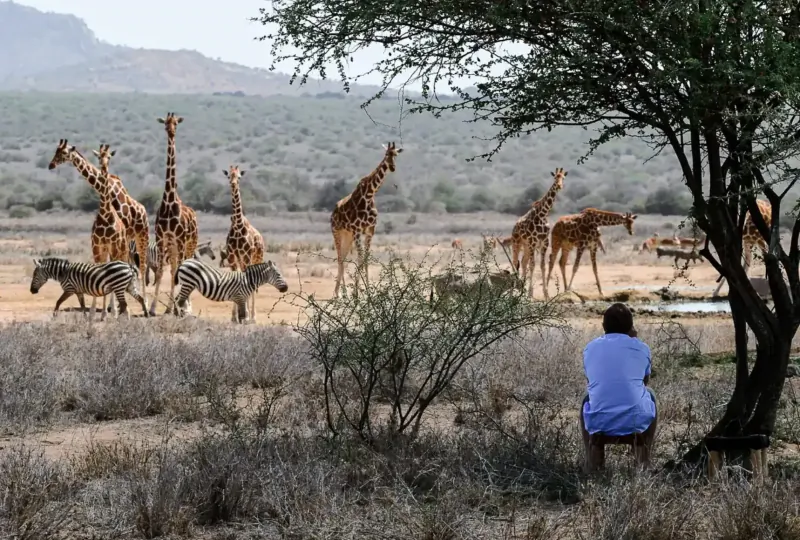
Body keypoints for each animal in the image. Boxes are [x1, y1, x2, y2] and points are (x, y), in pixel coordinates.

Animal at [47, 139, 149, 308]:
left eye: (64, 153)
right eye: (55, 151)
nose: (51, 165)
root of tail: (143, 209)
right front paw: (110, 306)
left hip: (141, 236)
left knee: (142, 266)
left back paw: (149, 304)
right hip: (128, 241)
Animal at [223, 165, 266, 322]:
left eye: (239, 177)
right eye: (228, 176)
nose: (233, 184)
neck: (237, 226)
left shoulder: (246, 256)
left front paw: (246, 316)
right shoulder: (232, 256)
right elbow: (235, 279)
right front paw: (234, 317)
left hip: (256, 258)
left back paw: (253, 316)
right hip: (242, 260)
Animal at [331, 141, 403, 297]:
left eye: (396, 154)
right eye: (386, 154)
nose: (393, 168)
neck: (370, 194)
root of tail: (333, 210)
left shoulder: (370, 230)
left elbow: (365, 259)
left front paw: (368, 291)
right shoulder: (358, 230)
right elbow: (360, 258)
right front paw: (357, 293)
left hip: (348, 235)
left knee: (344, 258)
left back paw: (343, 293)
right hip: (337, 232)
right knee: (340, 258)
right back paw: (337, 293)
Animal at [509, 167, 567, 298]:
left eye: (563, 178)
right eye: (555, 177)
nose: (560, 186)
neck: (543, 214)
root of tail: (514, 227)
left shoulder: (544, 242)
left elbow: (542, 265)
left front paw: (546, 294)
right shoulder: (533, 241)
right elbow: (532, 265)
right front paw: (530, 294)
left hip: (526, 245)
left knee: (523, 262)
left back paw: (522, 290)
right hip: (517, 243)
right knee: (515, 263)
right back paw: (513, 293)